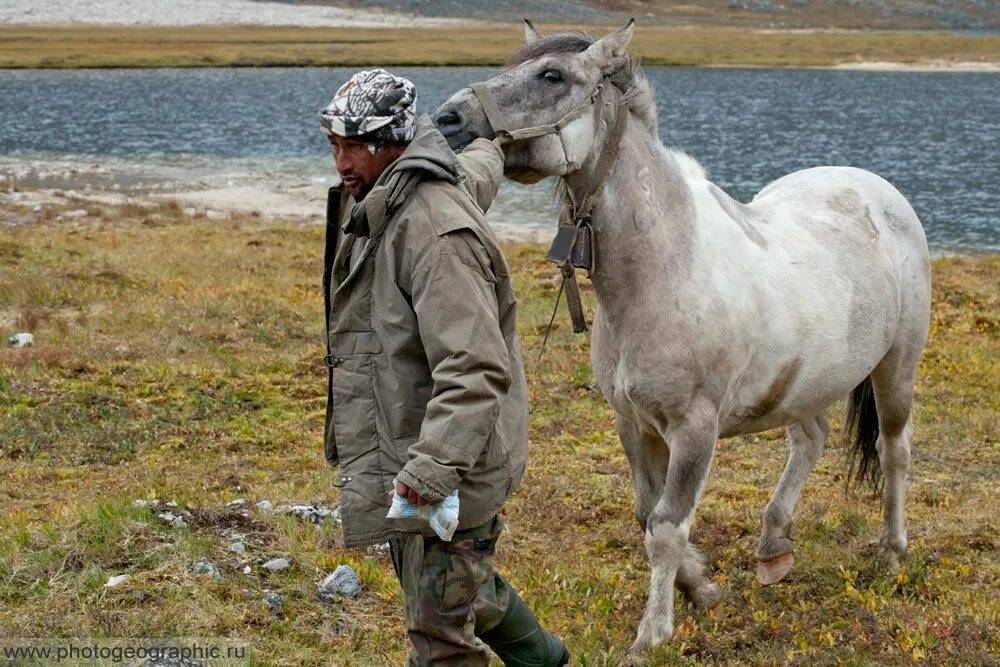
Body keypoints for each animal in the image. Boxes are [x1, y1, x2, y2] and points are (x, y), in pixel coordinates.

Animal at [434, 19, 932, 652]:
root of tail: (879, 191)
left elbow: (667, 526)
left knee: (895, 451)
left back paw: (891, 553)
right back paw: (773, 547)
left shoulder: (695, 427)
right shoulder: (633, 423)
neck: (665, 271)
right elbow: (647, 513)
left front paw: (654, 632)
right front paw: (701, 587)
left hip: (898, 365)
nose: (448, 118)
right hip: (805, 381)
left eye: (552, 76)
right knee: (811, 439)